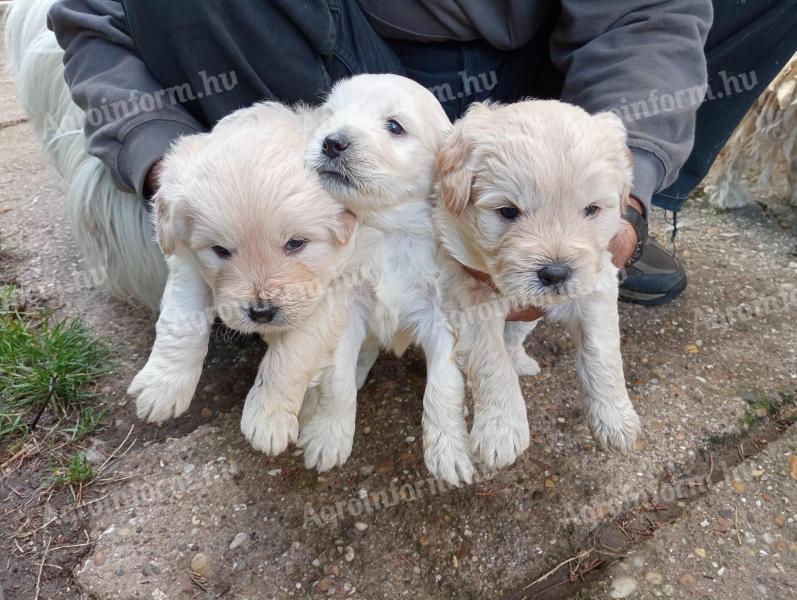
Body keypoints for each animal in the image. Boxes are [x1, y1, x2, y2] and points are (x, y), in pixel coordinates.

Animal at [126, 102, 356, 454]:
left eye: (296, 243)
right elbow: (181, 321)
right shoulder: (188, 261)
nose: (261, 313)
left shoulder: (338, 284)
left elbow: (294, 351)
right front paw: (162, 384)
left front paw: (268, 415)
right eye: (220, 250)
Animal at [432, 101, 644, 472]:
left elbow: (603, 352)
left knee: (515, 337)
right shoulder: (467, 291)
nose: (556, 273)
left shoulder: (596, 283)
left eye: (591, 209)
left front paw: (616, 419)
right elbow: (490, 360)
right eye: (507, 211)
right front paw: (502, 430)